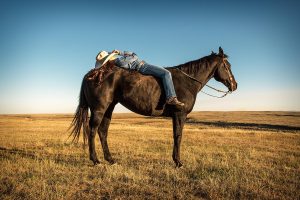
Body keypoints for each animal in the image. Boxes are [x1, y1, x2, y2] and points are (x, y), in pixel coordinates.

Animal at [69, 47, 237, 167]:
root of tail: (93, 73)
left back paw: (110, 159)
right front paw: (178, 162)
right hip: (99, 109)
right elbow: (178, 136)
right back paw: (95, 160)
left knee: (103, 132)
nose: (234, 85)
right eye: (226, 66)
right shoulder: (180, 114)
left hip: (108, 109)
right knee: (92, 131)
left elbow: (176, 136)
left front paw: (176, 160)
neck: (188, 82)